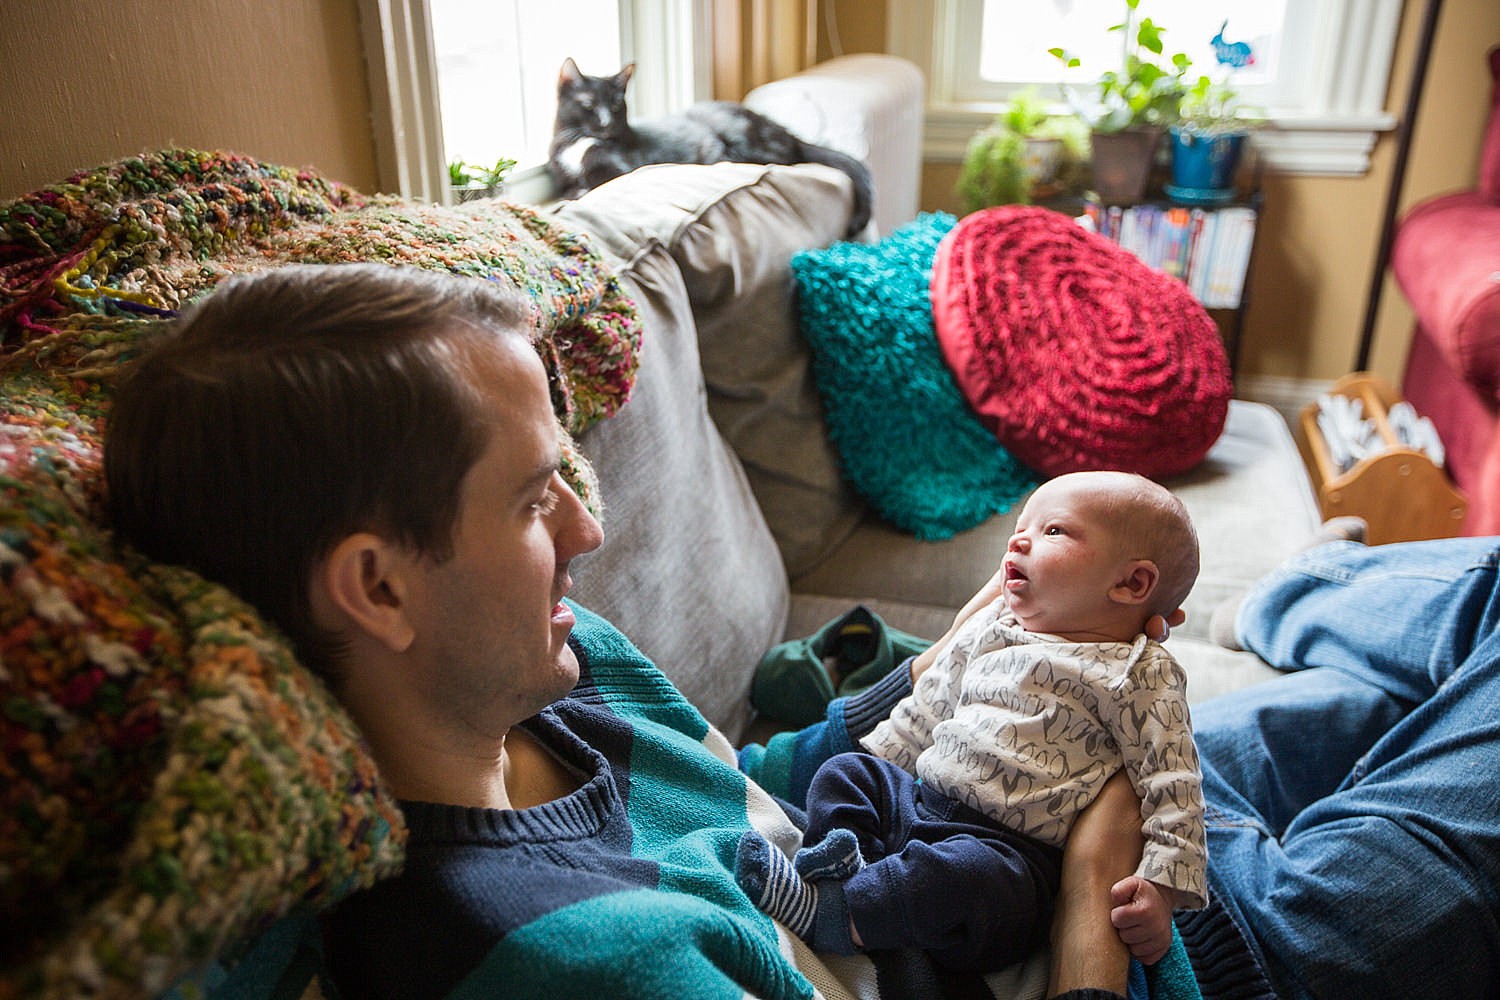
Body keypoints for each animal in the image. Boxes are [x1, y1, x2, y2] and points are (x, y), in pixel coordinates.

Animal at [552, 58, 876, 236]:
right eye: (588, 104)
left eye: (617, 106)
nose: (606, 122)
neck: (579, 142)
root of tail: (783, 130)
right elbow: (572, 185)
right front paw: (571, 193)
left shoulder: (623, 166)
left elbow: (595, 181)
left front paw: (576, 195)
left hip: (738, 137)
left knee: (784, 158)